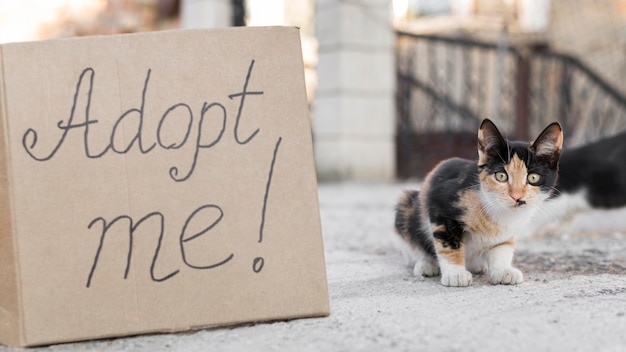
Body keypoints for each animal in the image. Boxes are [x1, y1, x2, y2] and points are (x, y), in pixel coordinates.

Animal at [398, 118, 564, 286]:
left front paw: (503, 270)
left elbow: (502, 247)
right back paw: (426, 264)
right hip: (407, 205)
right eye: (501, 176)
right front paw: (456, 274)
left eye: (533, 178)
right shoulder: (440, 205)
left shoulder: (508, 232)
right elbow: (449, 242)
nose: (517, 197)